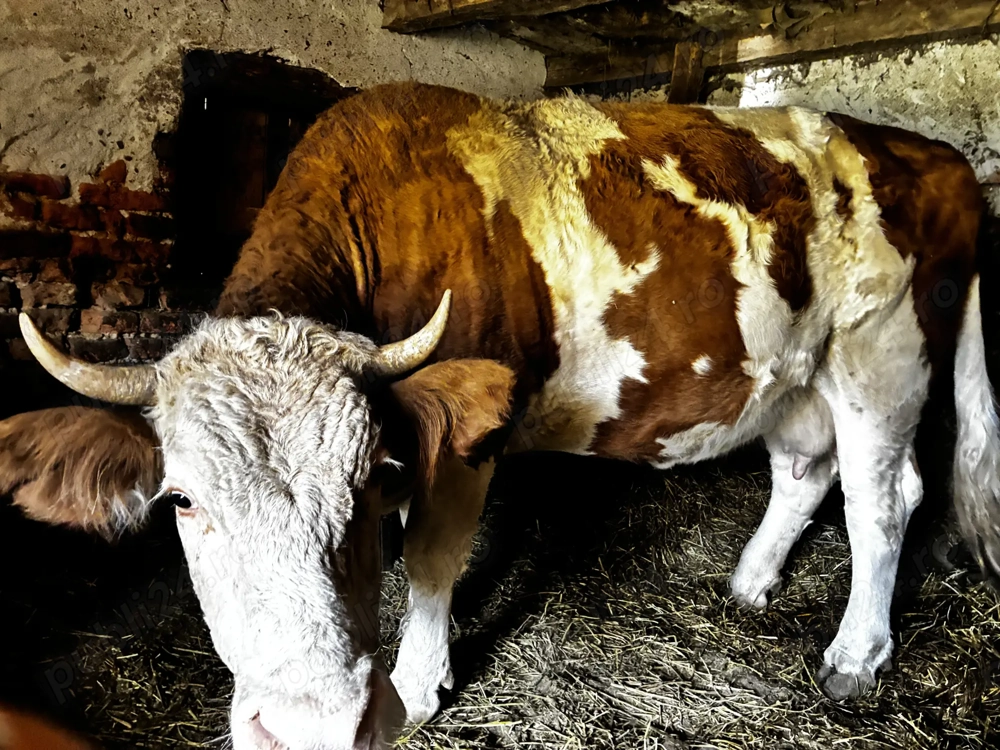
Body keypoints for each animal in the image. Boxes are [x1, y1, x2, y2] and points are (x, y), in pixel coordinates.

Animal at [0, 82, 997, 750]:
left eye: (366, 480)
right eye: (181, 501)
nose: (314, 726)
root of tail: (931, 152)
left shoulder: (465, 446)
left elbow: (434, 563)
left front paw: (418, 686)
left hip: (882, 358)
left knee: (884, 501)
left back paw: (856, 656)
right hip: (797, 372)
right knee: (803, 471)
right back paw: (750, 583)